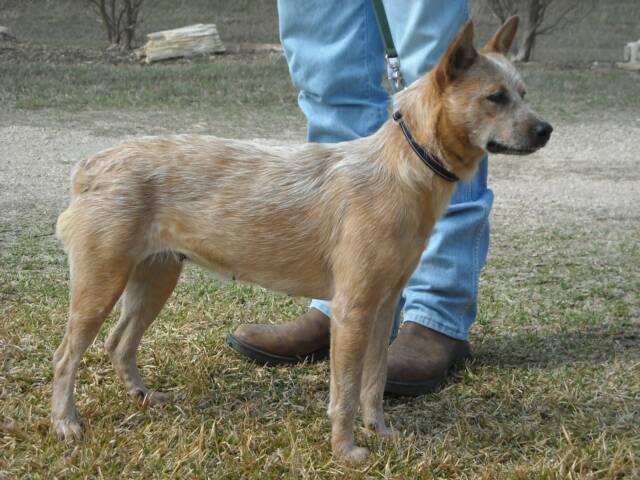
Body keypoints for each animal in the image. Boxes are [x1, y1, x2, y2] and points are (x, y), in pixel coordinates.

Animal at [52, 17, 552, 462]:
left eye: (525, 94)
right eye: (495, 97)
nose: (546, 129)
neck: (401, 168)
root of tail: (88, 167)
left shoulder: (384, 305)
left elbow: (374, 382)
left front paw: (381, 432)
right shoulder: (353, 308)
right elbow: (346, 391)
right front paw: (346, 450)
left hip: (155, 279)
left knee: (119, 343)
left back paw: (140, 395)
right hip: (101, 284)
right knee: (65, 357)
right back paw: (66, 423)